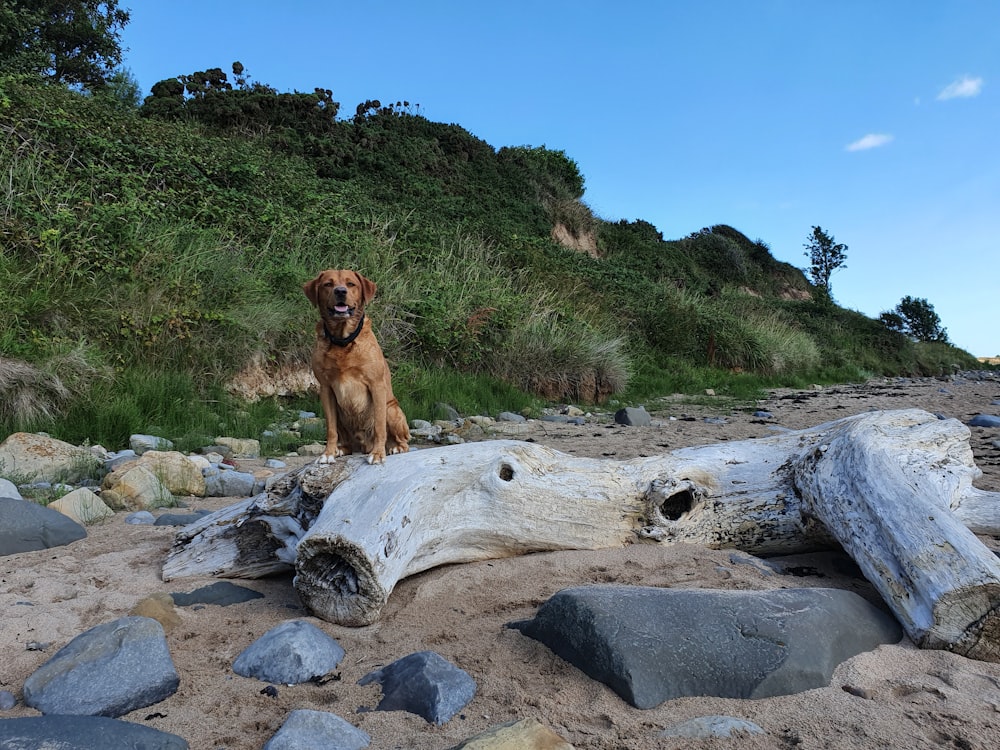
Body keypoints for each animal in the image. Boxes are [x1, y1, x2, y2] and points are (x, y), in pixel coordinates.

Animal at [306, 270, 412, 464]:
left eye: (351, 284)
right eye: (328, 284)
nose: (341, 291)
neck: (342, 341)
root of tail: (363, 446)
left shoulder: (376, 385)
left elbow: (379, 426)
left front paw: (378, 454)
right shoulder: (325, 389)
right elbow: (331, 430)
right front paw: (328, 453)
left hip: (392, 410)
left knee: (402, 439)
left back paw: (395, 447)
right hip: (340, 415)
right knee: (345, 439)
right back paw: (341, 449)